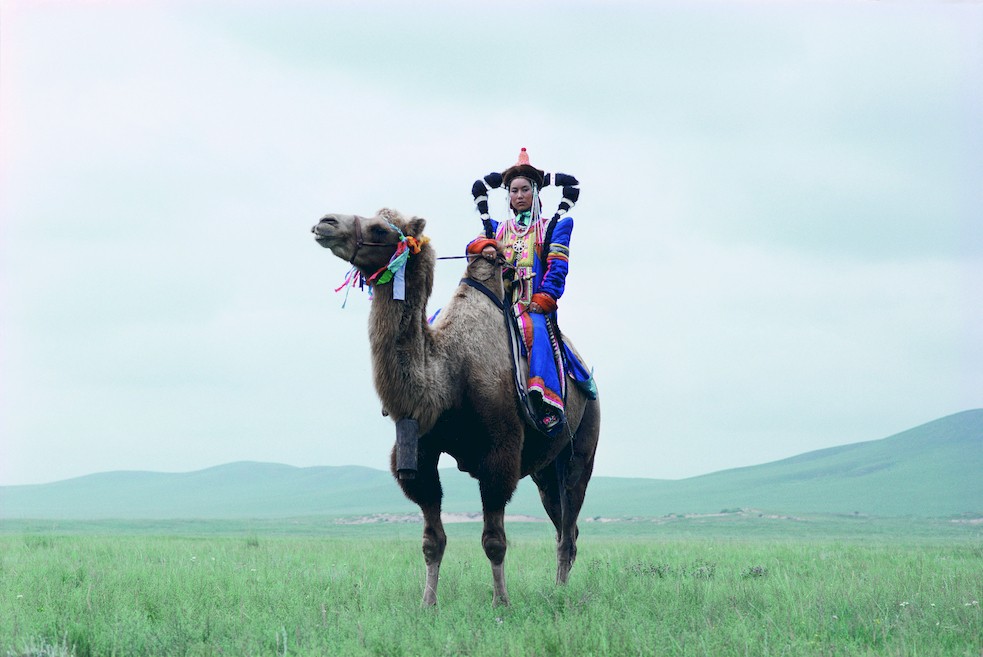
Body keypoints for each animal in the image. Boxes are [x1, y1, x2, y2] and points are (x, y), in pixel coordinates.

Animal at [311, 208, 600, 606]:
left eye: (381, 228)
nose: (325, 222)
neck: (449, 373)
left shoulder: (500, 453)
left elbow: (494, 541)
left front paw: (501, 603)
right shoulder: (420, 451)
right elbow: (433, 541)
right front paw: (428, 604)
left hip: (581, 447)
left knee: (568, 524)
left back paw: (560, 593)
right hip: (544, 469)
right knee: (562, 525)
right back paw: (558, 588)